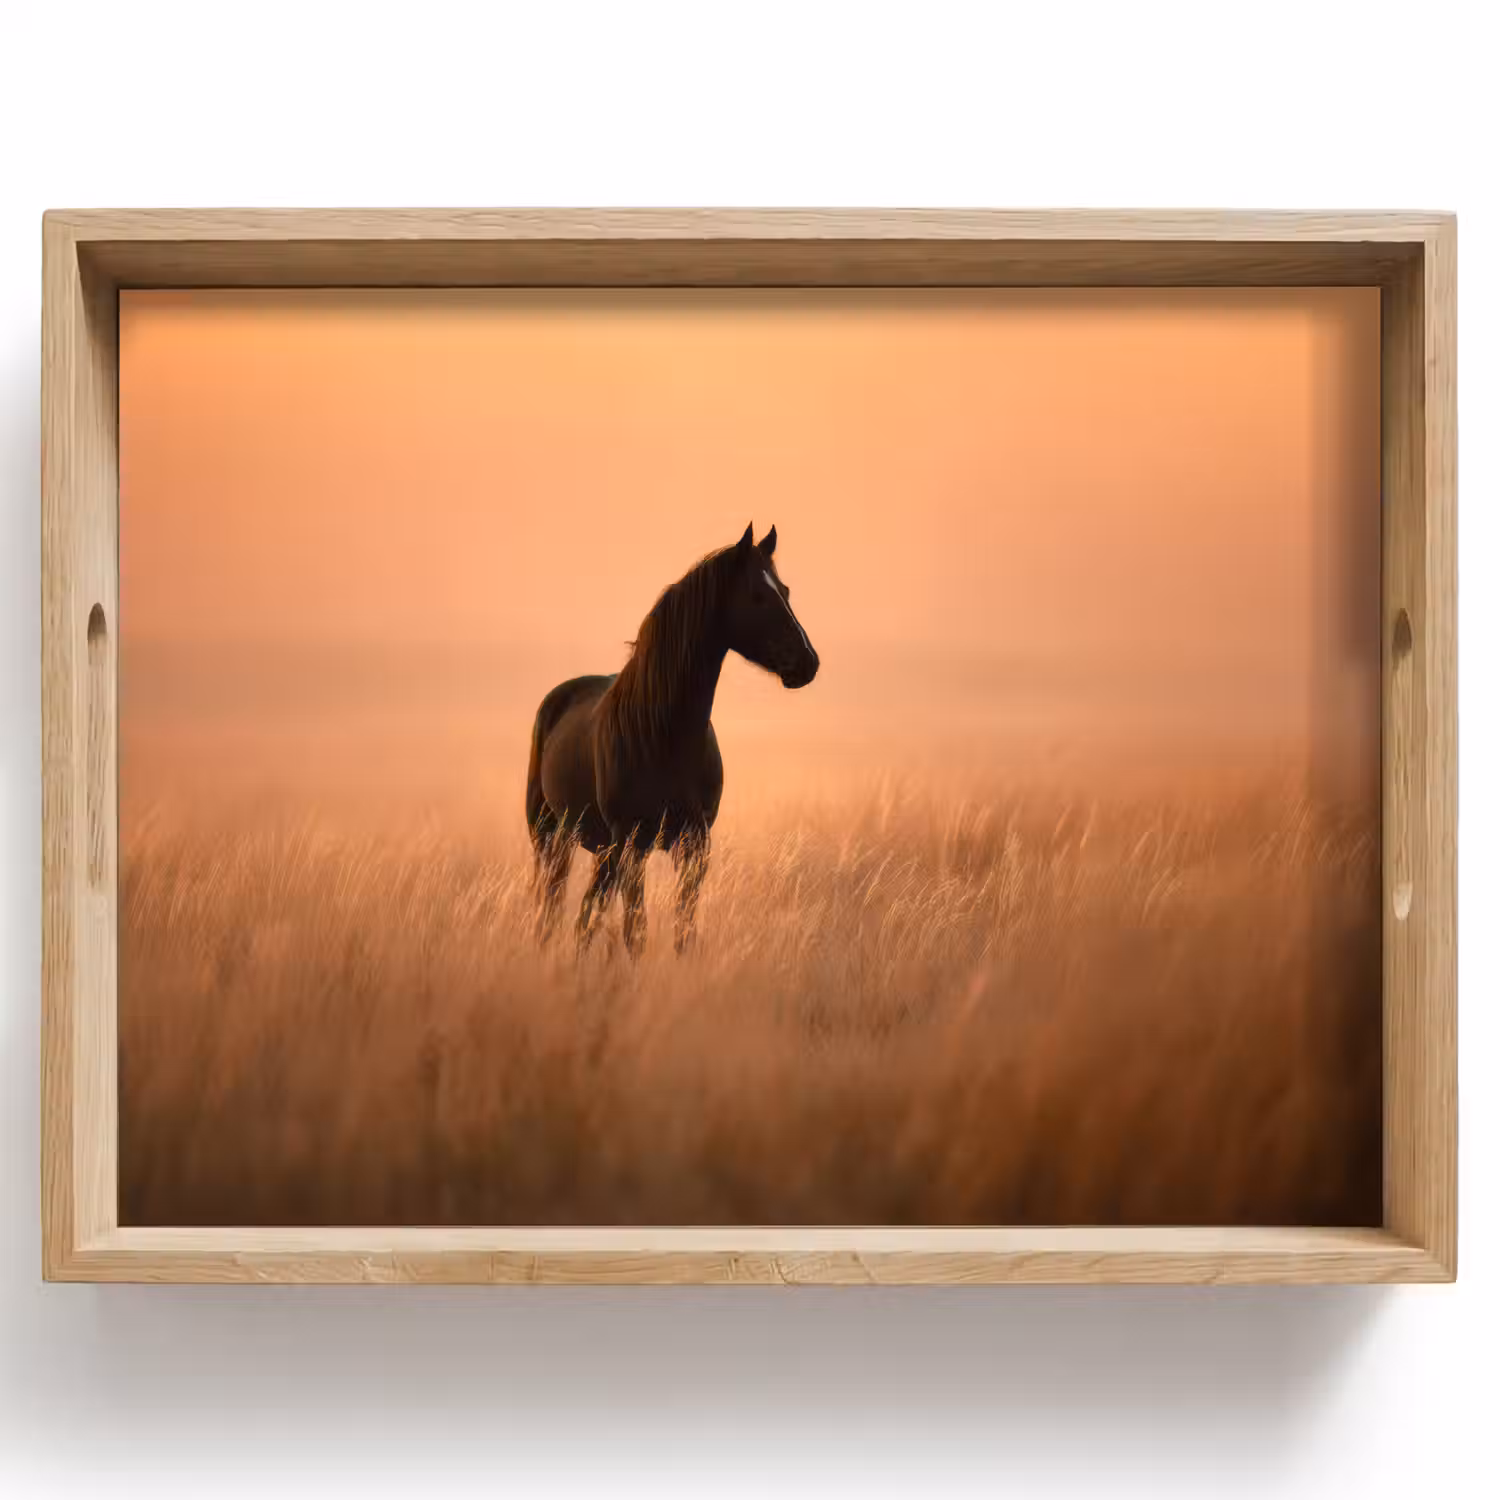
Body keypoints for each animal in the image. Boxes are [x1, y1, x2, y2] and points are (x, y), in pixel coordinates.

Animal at [525, 523, 819, 956]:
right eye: (757, 595)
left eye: (785, 590)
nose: (807, 663)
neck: (665, 735)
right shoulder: (633, 844)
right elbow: (636, 932)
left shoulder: (693, 845)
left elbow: (684, 931)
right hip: (553, 838)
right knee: (555, 911)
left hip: (601, 850)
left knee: (585, 916)